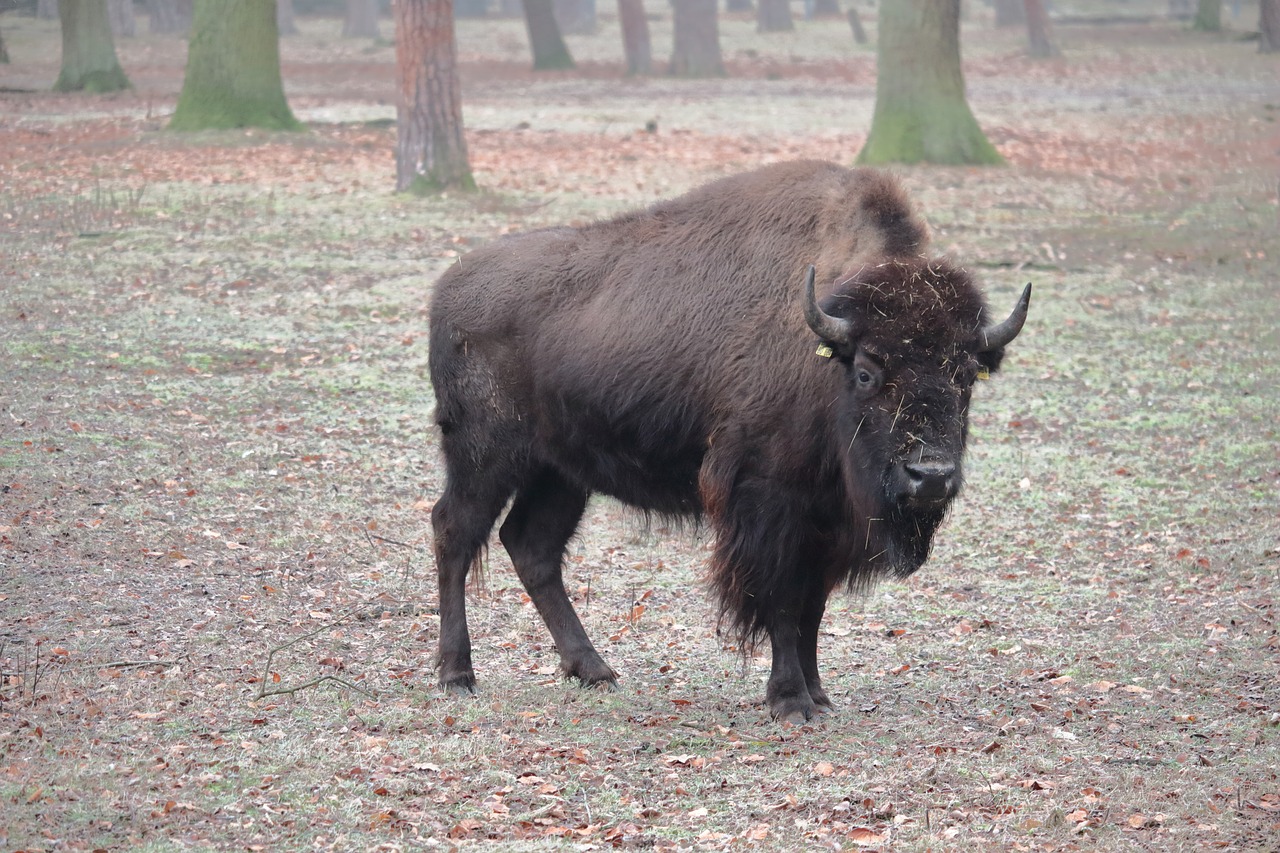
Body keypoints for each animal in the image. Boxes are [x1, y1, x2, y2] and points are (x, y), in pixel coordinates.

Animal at [430, 159, 1029, 717]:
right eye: (865, 372)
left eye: (966, 374)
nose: (930, 477)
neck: (824, 353)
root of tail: (449, 287)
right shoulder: (769, 503)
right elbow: (781, 601)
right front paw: (790, 700)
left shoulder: (825, 521)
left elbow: (811, 608)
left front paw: (818, 694)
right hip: (485, 457)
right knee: (454, 531)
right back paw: (457, 674)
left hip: (560, 471)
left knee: (531, 546)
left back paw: (594, 669)